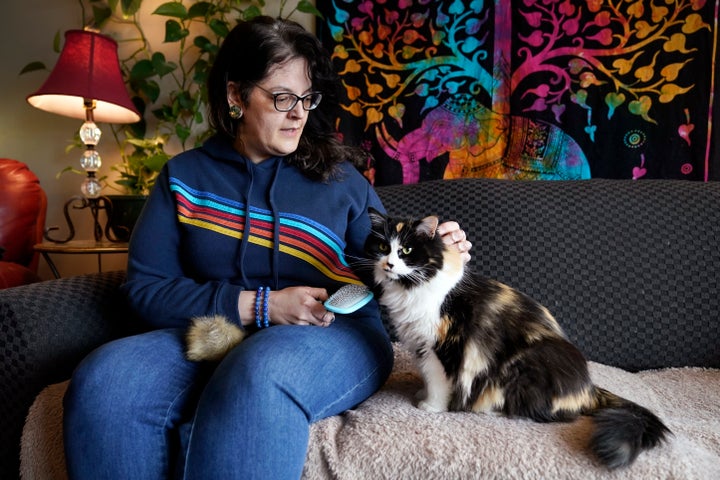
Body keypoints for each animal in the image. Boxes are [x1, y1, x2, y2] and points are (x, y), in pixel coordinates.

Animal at [362, 209, 672, 468]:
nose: (389, 264)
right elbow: (427, 378)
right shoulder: (421, 347)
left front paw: (432, 407)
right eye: (382, 247)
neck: (411, 288)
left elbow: (438, 382)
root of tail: (589, 388)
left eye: (406, 250)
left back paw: (492, 411)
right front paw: (422, 395)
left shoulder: (441, 348)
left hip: (520, 368)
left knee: (548, 414)